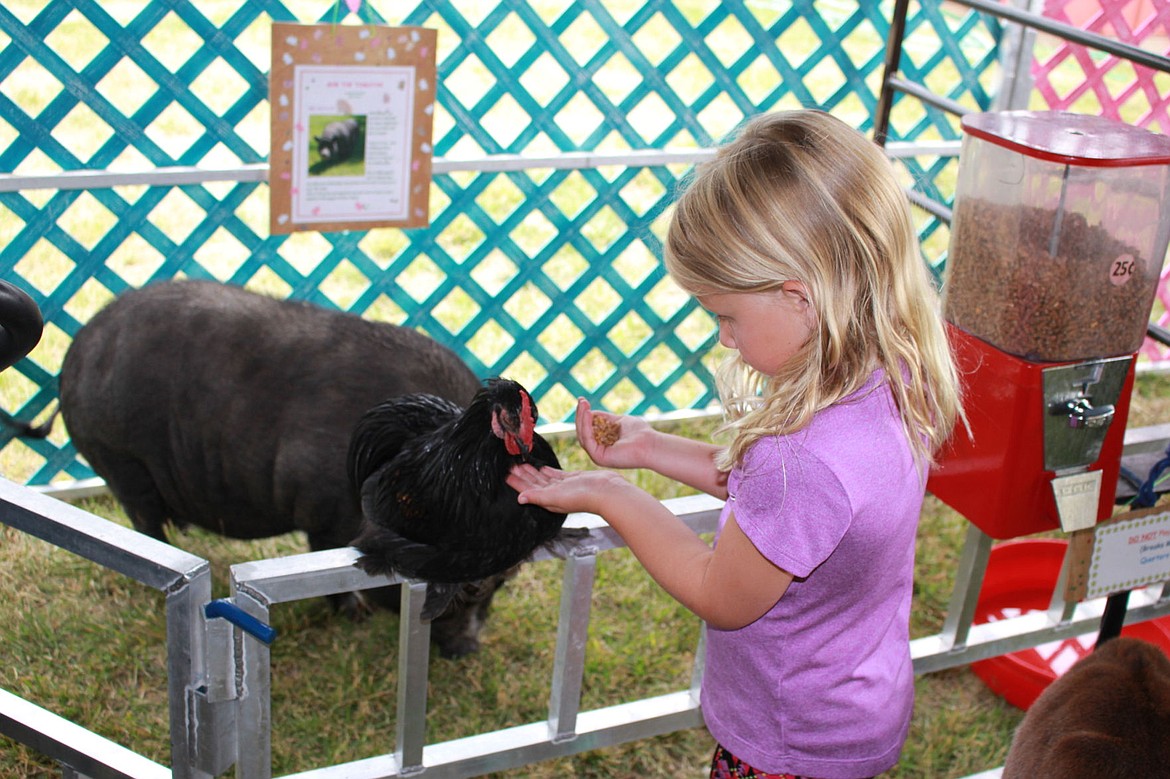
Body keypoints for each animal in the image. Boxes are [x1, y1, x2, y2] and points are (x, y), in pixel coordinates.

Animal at [55, 279, 503, 655]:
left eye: (500, 582)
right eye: (471, 587)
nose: (469, 650)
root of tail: (75, 353)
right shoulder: (324, 515)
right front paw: (356, 615)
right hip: (119, 458)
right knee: (144, 518)